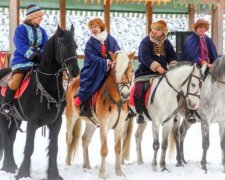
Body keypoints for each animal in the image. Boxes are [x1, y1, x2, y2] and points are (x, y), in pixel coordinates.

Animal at [0, 24, 80, 180]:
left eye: (75, 45)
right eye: (63, 45)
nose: (75, 70)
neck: (46, 83)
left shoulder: (56, 122)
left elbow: (54, 148)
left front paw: (54, 174)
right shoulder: (32, 121)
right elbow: (29, 147)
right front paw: (24, 173)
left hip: (17, 119)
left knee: (11, 138)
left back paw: (11, 165)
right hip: (3, 116)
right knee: (6, 138)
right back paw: (8, 166)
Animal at [65, 51, 135, 179]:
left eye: (131, 70)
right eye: (116, 71)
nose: (125, 94)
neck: (116, 100)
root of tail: (73, 82)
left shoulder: (120, 126)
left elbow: (118, 149)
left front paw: (119, 172)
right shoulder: (104, 125)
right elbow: (104, 150)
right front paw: (102, 173)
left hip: (91, 123)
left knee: (85, 139)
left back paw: (87, 165)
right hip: (71, 116)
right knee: (69, 138)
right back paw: (67, 164)